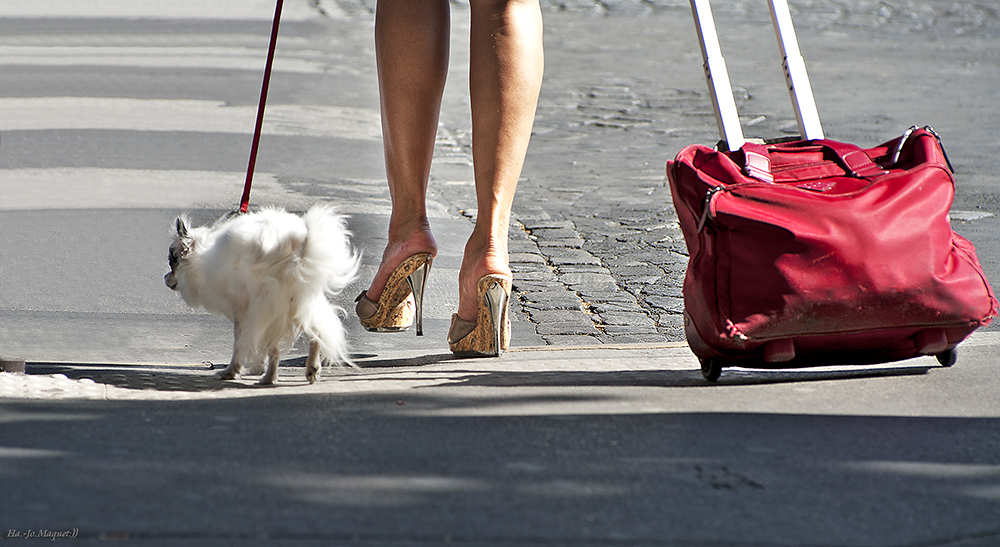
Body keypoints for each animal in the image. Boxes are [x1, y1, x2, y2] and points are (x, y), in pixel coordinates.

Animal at [166, 206, 362, 386]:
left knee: (274, 349)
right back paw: (311, 370)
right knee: (316, 334)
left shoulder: (243, 311)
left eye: (171, 262)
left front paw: (233, 371)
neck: (201, 254)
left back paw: (268, 378)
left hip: (271, 306)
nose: (165, 277)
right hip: (299, 304)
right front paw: (256, 367)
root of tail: (296, 252)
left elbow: (240, 343)